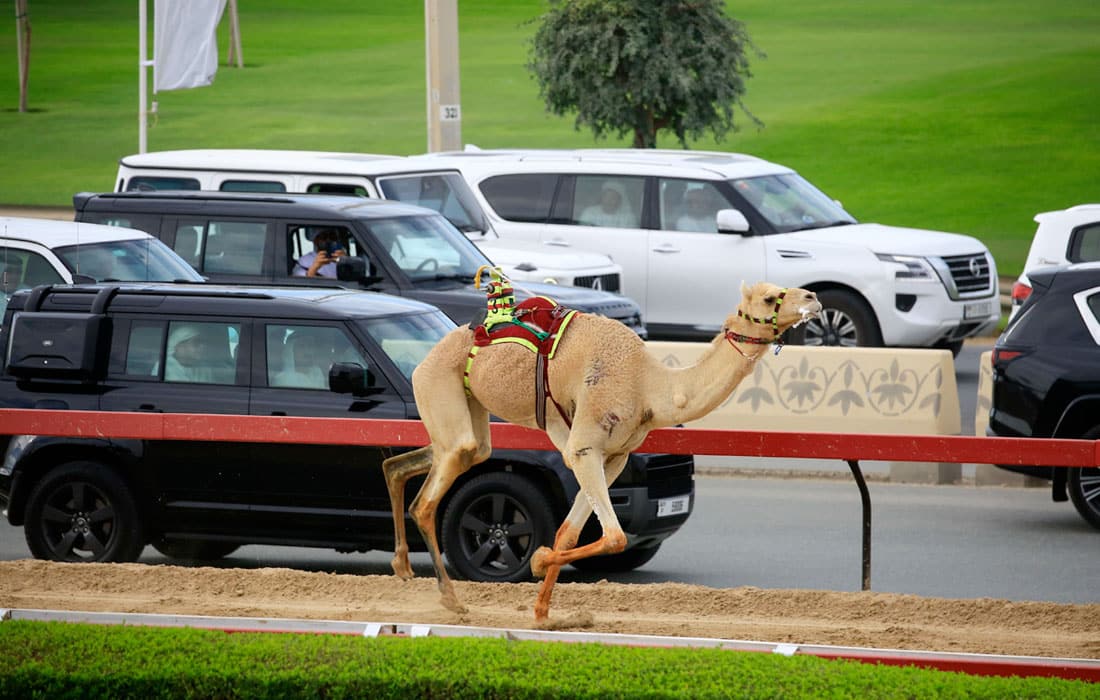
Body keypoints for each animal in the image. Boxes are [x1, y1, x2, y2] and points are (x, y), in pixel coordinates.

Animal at [382, 280, 822, 621]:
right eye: (770, 297)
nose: (813, 297)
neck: (651, 387)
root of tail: (424, 357)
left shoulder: (614, 457)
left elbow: (568, 531)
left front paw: (543, 613)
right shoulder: (585, 445)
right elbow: (614, 536)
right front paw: (537, 561)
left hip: (470, 412)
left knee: (412, 462)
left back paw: (403, 565)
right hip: (440, 387)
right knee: (430, 496)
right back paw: (450, 600)